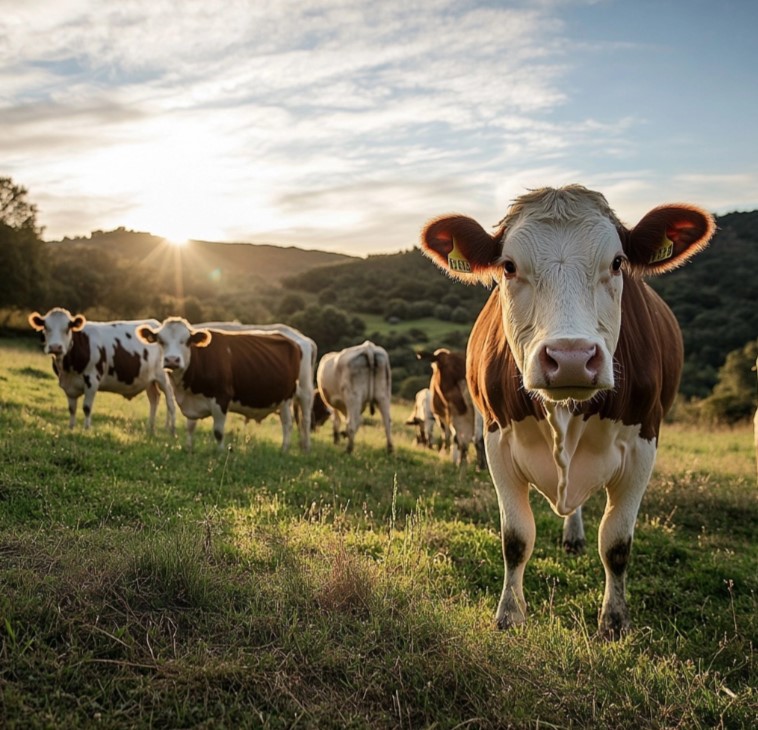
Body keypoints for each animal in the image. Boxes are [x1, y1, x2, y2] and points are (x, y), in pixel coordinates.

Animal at [28, 306, 177, 432]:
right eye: (46, 328)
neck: (68, 369)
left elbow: (86, 408)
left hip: (163, 377)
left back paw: (170, 430)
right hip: (148, 380)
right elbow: (72, 409)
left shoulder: (92, 381)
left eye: (67, 328)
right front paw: (71, 427)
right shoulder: (68, 386)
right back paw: (150, 428)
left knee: (170, 401)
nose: (55, 347)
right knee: (154, 399)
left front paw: (86, 429)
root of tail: (156, 325)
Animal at [135, 318, 302, 450]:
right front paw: (188, 448)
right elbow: (190, 427)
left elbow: (218, 432)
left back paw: (284, 450)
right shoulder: (191, 400)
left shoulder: (222, 398)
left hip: (286, 399)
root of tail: (291, 341)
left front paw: (220, 453)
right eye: (161, 341)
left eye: (187, 341)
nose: (172, 360)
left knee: (287, 425)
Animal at [422, 183, 720, 636]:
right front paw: (509, 613)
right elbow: (516, 538)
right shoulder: (496, 440)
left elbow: (616, 543)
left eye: (617, 262)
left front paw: (614, 620)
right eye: (509, 266)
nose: (572, 357)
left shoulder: (644, 444)